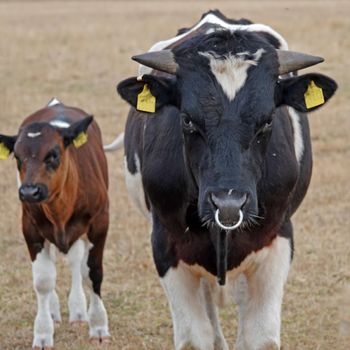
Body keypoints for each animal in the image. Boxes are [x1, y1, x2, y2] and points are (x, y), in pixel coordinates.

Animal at [0, 99, 110, 350]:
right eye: (17, 157)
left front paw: (99, 326)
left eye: (53, 154)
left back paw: (79, 311)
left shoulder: (100, 223)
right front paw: (42, 333)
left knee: (76, 262)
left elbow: (93, 273)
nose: (29, 192)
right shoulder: (30, 229)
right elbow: (43, 281)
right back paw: (54, 312)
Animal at [116, 10, 338, 350]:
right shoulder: (166, 245)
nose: (229, 203)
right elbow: (195, 338)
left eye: (268, 121)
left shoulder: (277, 240)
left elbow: (260, 337)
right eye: (187, 119)